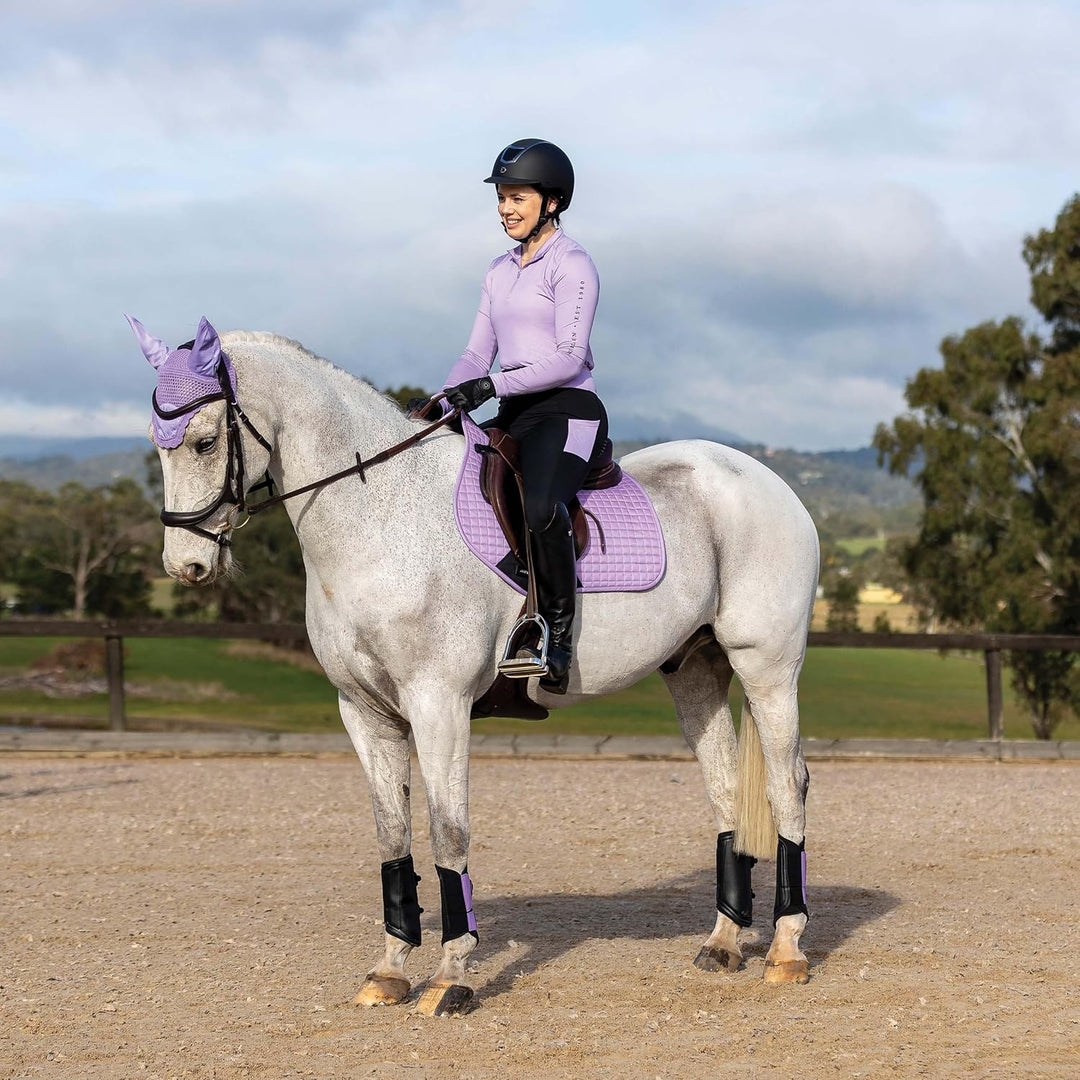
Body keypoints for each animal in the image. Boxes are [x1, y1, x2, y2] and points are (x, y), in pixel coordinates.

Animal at [138, 319, 820, 1015]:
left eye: (204, 441)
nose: (186, 566)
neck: (382, 516)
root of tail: (764, 480)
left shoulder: (438, 704)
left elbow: (449, 832)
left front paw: (450, 976)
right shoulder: (364, 711)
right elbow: (392, 835)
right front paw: (389, 972)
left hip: (766, 667)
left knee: (787, 783)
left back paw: (786, 950)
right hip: (695, 670)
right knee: (727, 787)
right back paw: (724, 943)